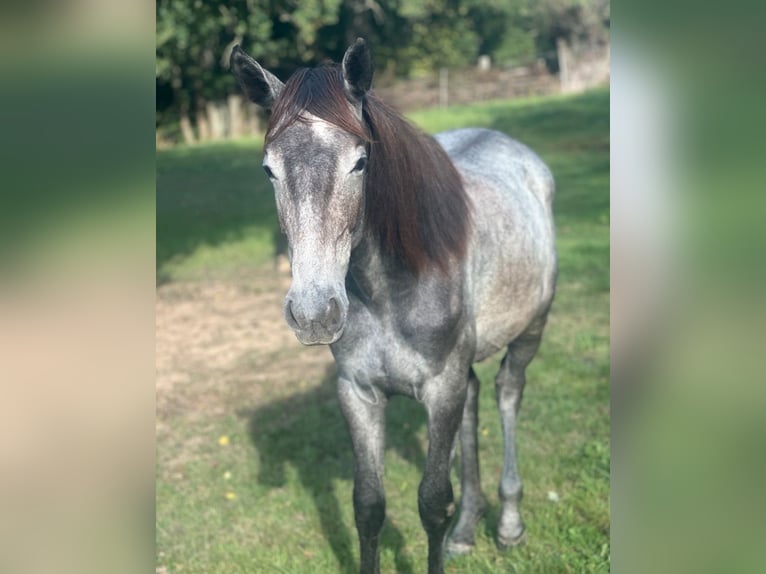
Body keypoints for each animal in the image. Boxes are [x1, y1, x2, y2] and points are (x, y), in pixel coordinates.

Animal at [231, 38, 557, 574]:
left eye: (360, 162)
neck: (388, 292)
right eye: (268, 169)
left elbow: (432, 501)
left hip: (530, 330)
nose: (314, 314)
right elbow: (368, 505)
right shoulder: (359, 392)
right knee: (474, 404)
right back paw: (467, 529)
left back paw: (508, 523)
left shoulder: (440, 389)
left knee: (508, 394)